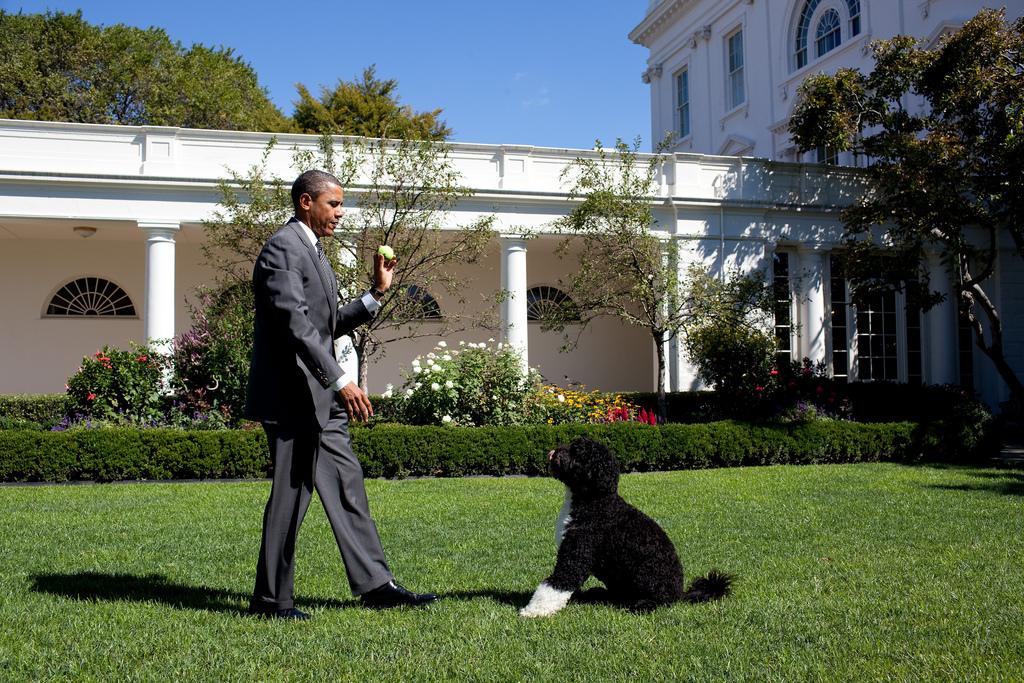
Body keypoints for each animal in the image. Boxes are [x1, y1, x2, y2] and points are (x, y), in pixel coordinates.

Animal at [520, 438, 737, 618]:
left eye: (577, 452)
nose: (554, 451)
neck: (595, 501)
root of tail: (680, 594)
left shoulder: (576, 555)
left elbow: (556, 584)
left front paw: (533, 611)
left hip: (648, 581)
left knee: (660, 603)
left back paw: (642, 605)